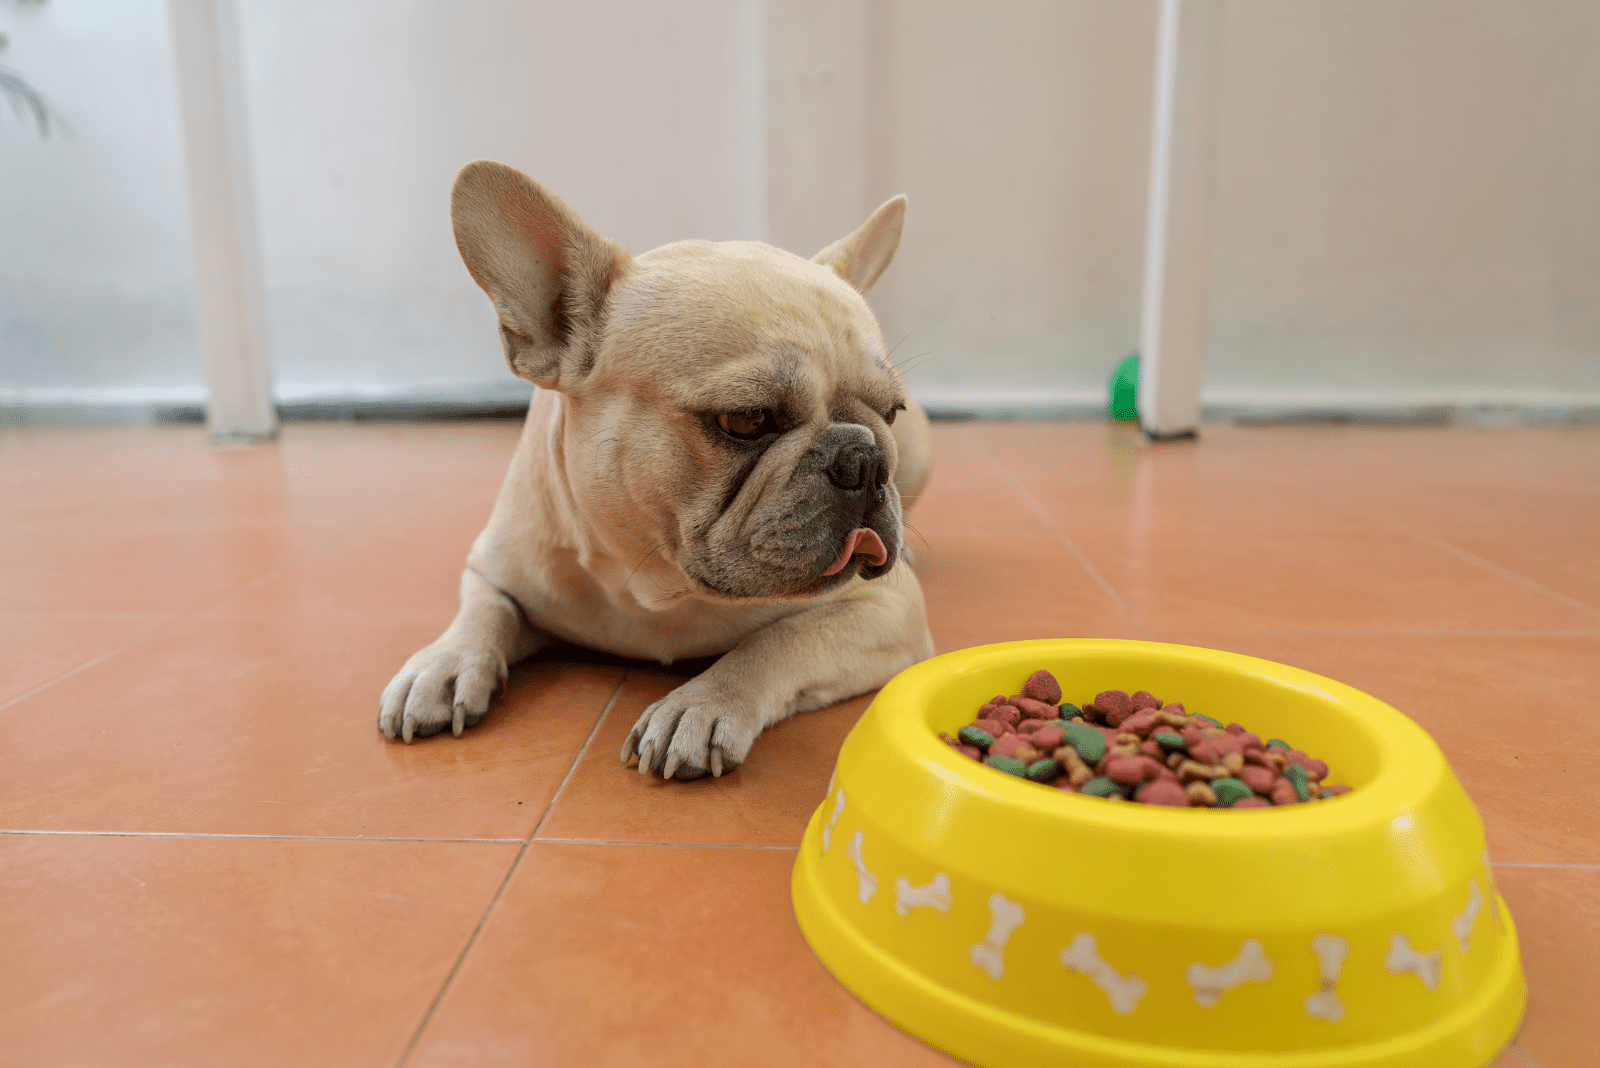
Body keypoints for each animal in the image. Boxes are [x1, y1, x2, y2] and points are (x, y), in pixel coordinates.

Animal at [380, 163, 934, 783]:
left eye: (891, 411)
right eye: (746, 420)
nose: (864, 457)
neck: (651, 581)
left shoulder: (887, 610)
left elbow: (779, 640)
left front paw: (700, 705)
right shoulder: (492, 567)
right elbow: (482, 612)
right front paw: (443, 664)